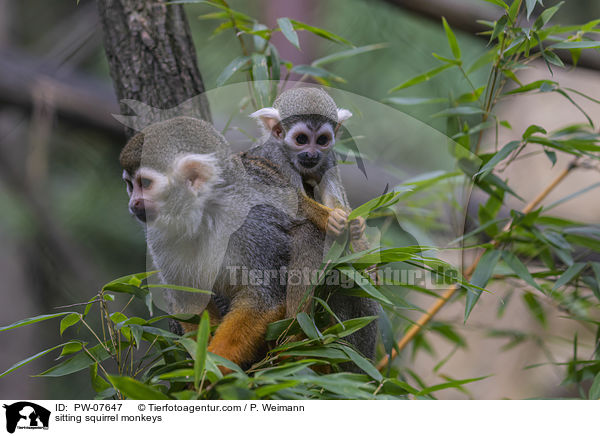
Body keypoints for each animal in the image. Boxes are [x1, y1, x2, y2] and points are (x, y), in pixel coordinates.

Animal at [119, 116, 336, 372]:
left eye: (145, 183)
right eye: (130, 185)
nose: (134, 203)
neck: (203, 214)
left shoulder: (249, 224)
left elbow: (262, 298)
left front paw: (209, 368)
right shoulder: (159, 233)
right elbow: (192, 300)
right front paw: (200, 361)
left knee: (306, 233)